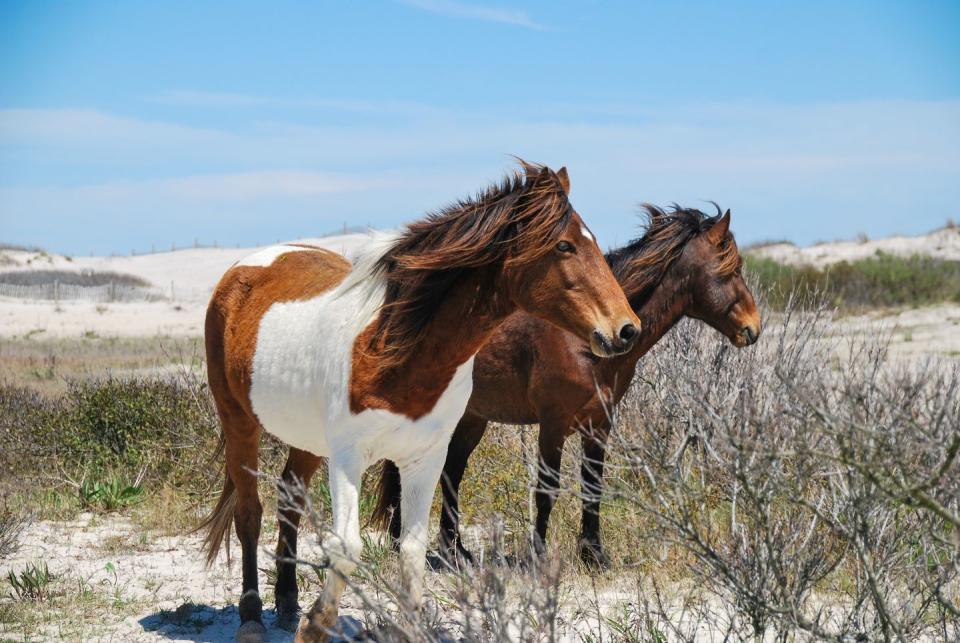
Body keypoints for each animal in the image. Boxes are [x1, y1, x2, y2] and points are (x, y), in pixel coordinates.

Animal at [200, 164, 640, 643]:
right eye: (564, 245)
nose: (626, 329)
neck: (396, 348)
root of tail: (244, 269)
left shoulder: (424, 458)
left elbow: (411, 548)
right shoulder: (349, 458)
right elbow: (347, 546)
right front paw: (315, 625)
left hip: (307, 440)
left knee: (288, 501)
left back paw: (286, 601)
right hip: (239, 422)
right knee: (249, 513)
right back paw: (251, 617)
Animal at [374, 203, 756, 568]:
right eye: (733, 268)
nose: (753, 328)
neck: (586, 342)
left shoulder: (599, 425)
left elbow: (592, 487)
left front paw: (594, 555)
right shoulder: (553, 424)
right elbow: (547, 489)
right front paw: (539, 556)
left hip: (472, 418)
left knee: (451, 472)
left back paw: (455, 551)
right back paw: (405, 543)